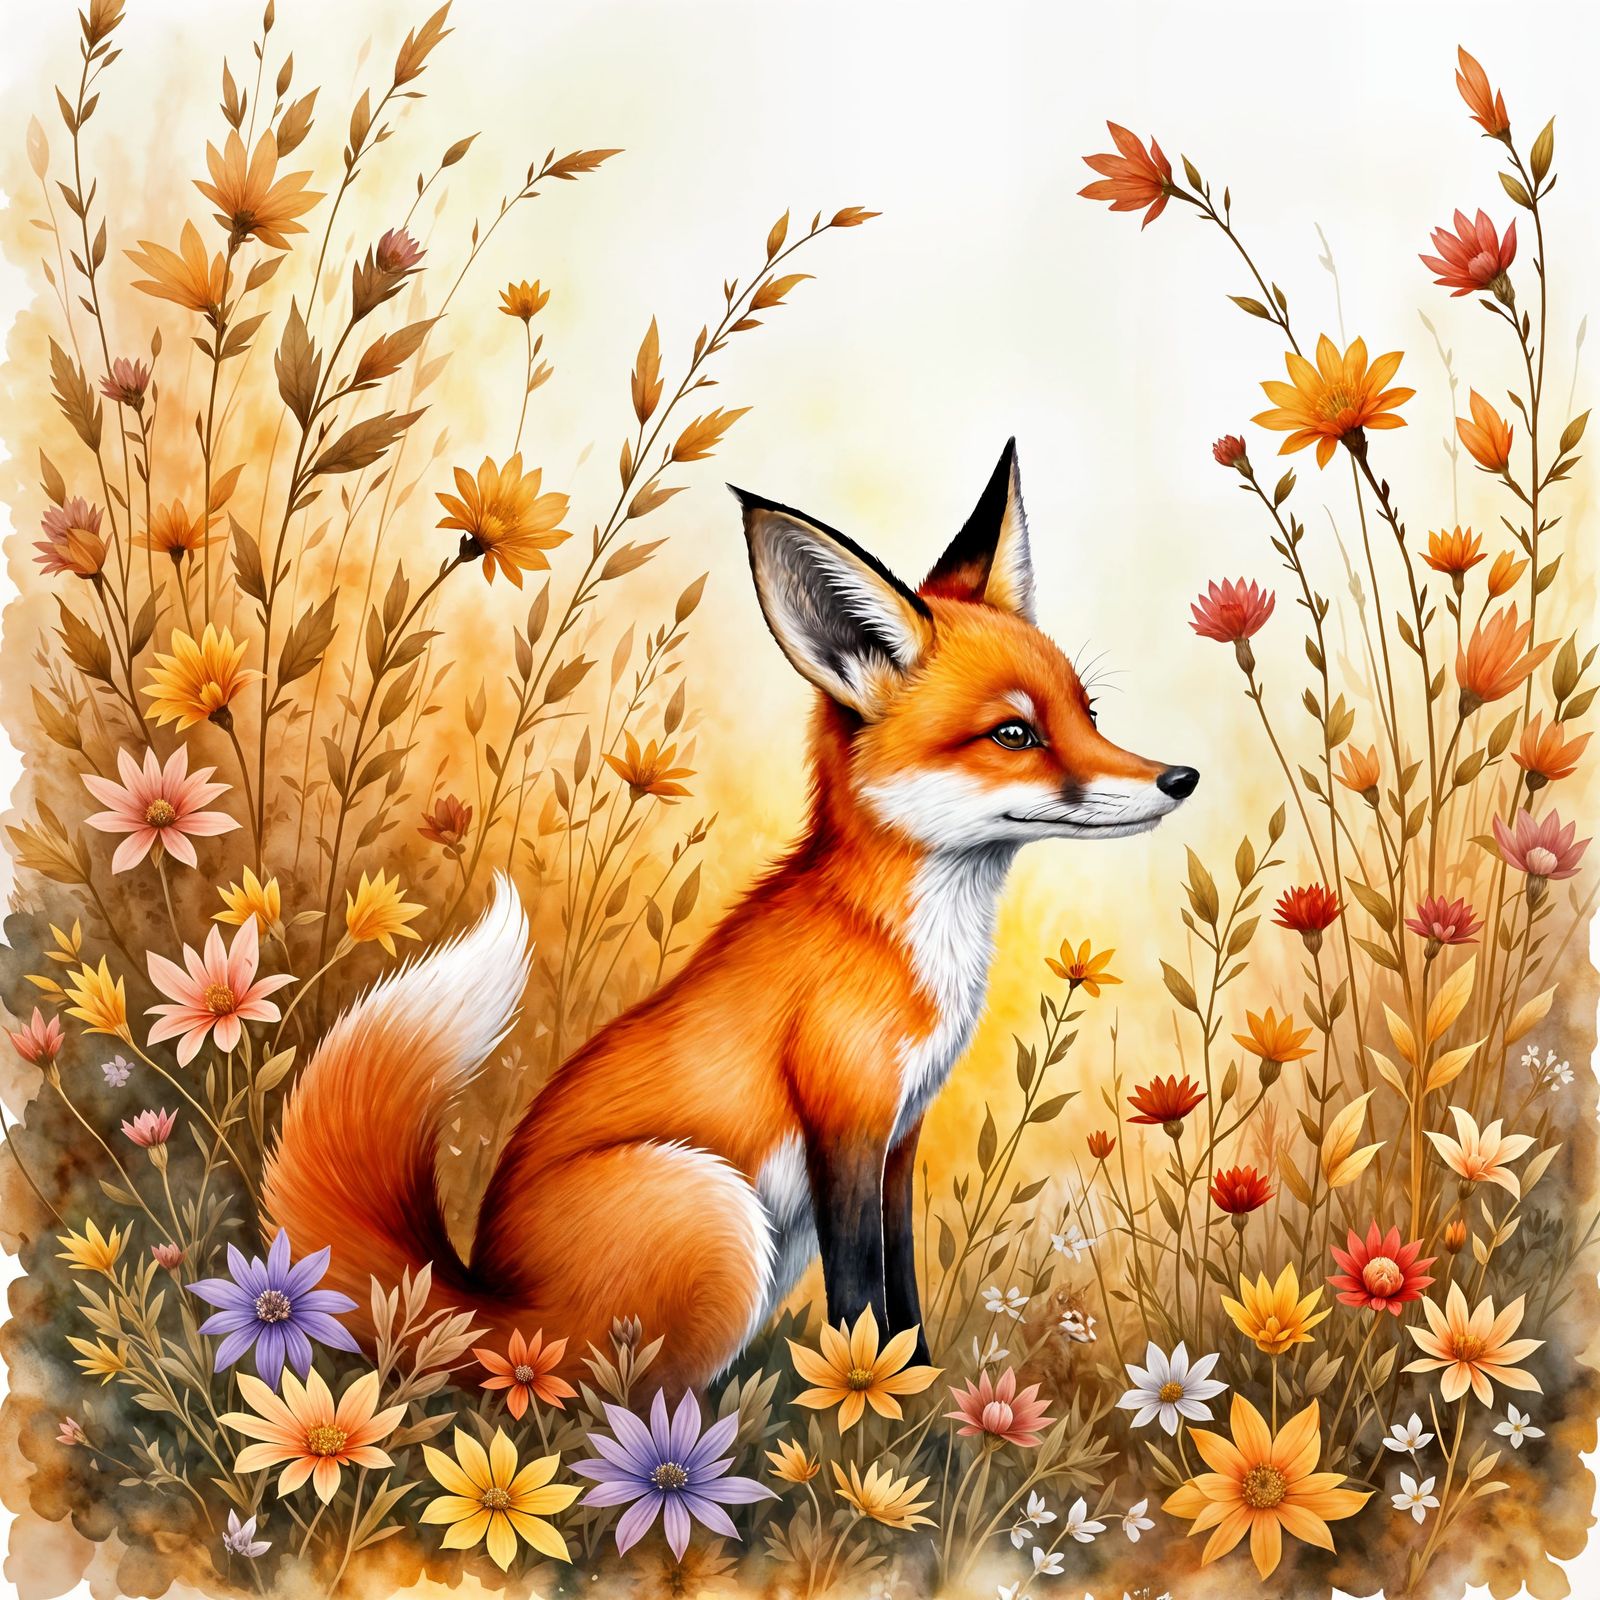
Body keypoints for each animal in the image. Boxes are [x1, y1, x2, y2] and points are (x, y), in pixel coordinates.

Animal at [261, 439, 1198, 1392]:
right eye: (1014, 735)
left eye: (1088, 713)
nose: (1181, 779)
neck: (901, 942)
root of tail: (494, 1312)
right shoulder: (844, 1123)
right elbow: (861, 1299)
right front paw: (867, 1414)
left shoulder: (900, 1136)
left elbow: (903, 1296)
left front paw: (924, 1407)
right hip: (718, 1210)